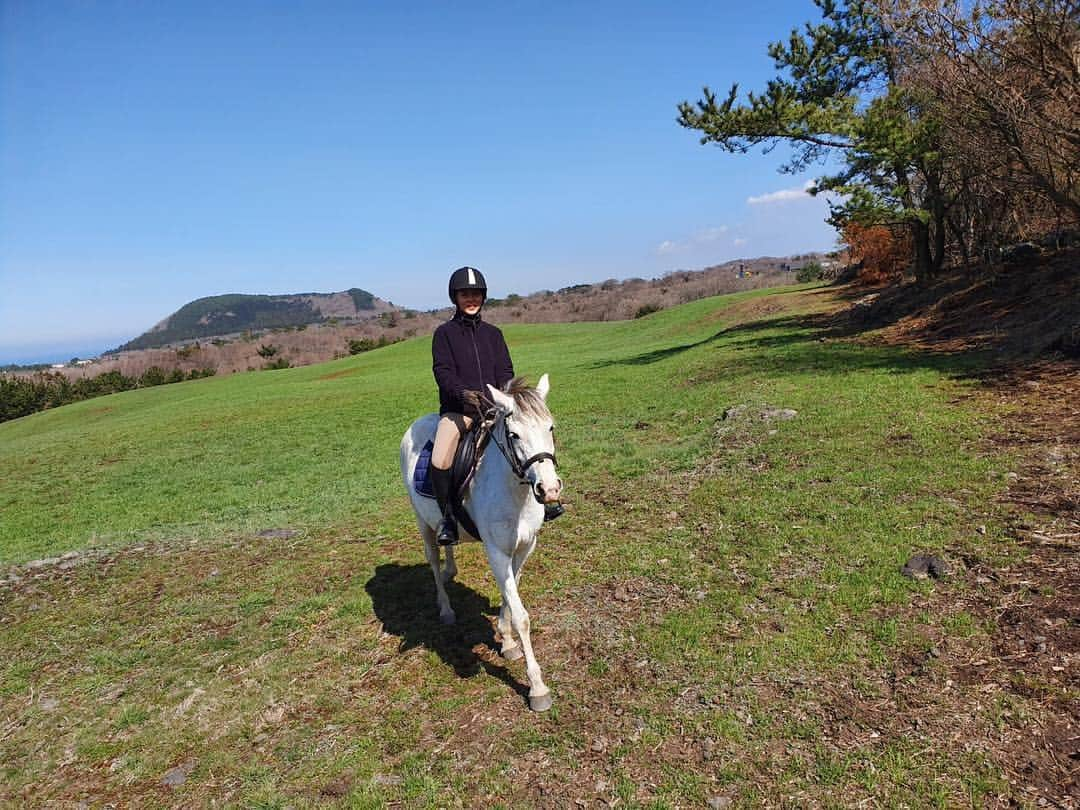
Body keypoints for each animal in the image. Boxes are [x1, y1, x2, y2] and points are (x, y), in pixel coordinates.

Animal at [399, 373, 565, 708]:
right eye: (514, 434)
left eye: (550, 427)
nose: (550, 490)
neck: (514, 492)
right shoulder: (496, 551)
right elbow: (521, 615)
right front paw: (537, 687)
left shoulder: (524, 547)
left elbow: (508, 596)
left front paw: (507, 642)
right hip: (422, 522)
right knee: (433, 559)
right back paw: (445, 608)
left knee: (447, 545)